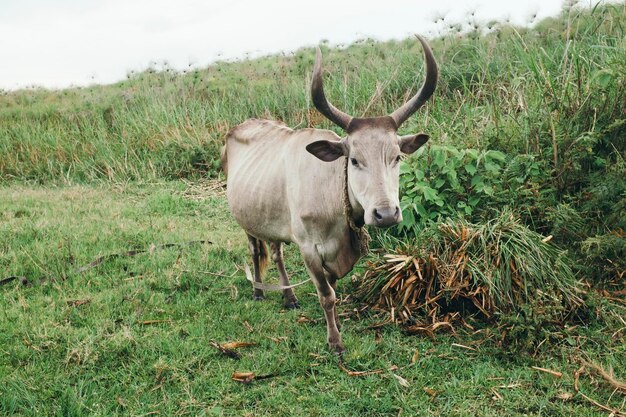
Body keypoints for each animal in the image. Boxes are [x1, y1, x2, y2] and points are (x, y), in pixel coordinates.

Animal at [222, 36, 436, 354]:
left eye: (397, 157)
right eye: (354, 160)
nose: (385, 214)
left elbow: (333, 289)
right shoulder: (309, 249)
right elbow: (326, 296)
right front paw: (335, 341)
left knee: (276, 252)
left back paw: (289, 297)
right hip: (246, 220)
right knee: (254, 250)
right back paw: (259, 291)